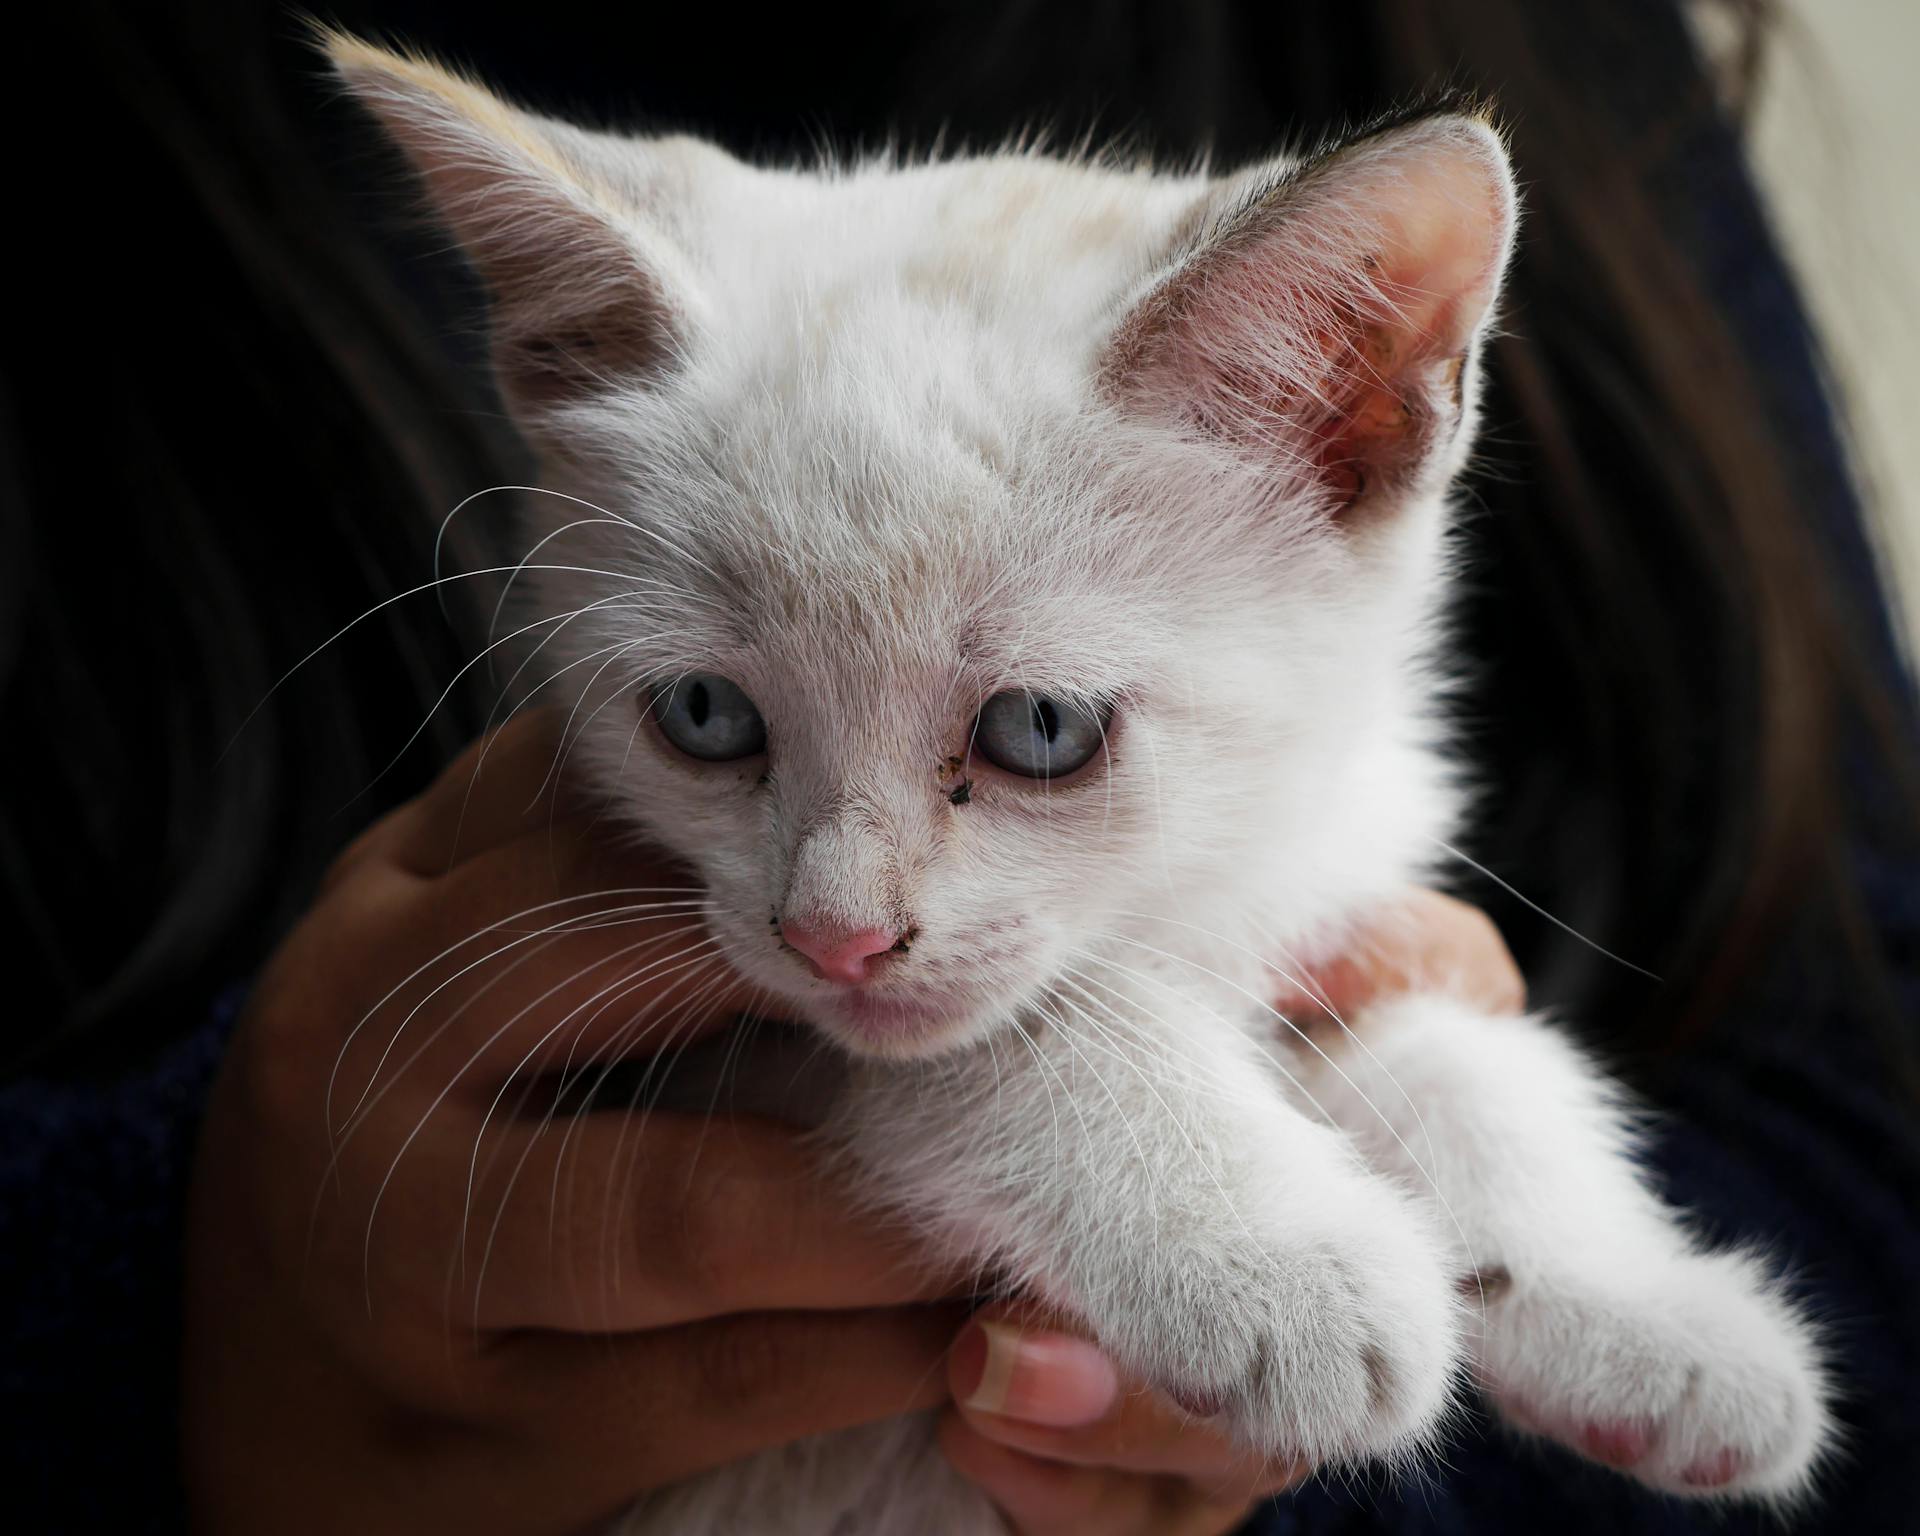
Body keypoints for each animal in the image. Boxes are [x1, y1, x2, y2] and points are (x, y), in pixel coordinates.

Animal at [337, 30, 1835, 1528]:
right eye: (704, 716)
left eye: (1041, 728)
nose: (835, 941)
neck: (1203, 887)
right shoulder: (696, 1048)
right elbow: (1022, 1031)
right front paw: (1285, 1263)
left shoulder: (1329, 876)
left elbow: (1452, 1047)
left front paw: (1645, 1316)